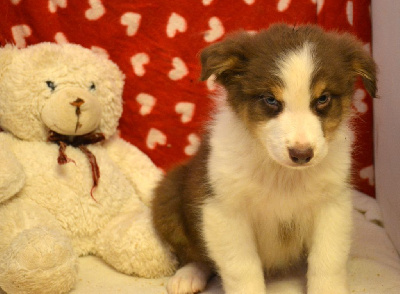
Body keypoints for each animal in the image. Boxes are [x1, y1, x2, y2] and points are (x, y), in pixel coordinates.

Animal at [152, 23, 376, 294]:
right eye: (270, 99)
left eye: (323, 99)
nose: (302, 154)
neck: (283, 174)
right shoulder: (224, 209)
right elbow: (241, 268)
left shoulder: (332, 204)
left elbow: (327, 261)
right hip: (168, 195)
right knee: (197, 255)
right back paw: (188, 276)